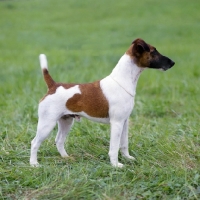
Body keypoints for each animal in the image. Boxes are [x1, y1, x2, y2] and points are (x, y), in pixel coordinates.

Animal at [30, 38, 175, 166]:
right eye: (153, 51)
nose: (173, 62)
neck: (122, 80)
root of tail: (53, 86)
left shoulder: (124, 122)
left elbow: (124, 144)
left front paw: (127, 158)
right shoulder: (116, 123)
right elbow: (114, 147)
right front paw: (116, 165)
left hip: (66, 121)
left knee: (59, 140)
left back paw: (66, 157)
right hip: (47, 123)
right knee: (34, 142)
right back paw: (34, 164)